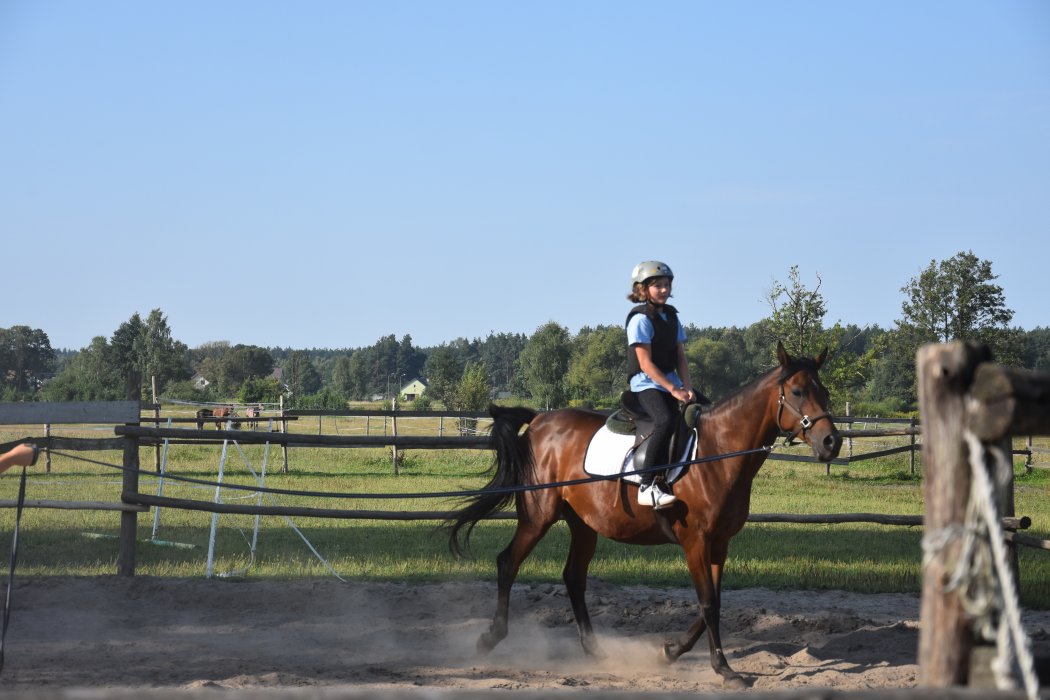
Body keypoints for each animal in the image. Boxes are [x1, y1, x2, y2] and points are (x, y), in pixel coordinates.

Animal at [447, 342, 839, 688]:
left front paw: (671, 651)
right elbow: (709, 604)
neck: (717, 452)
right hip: (537, 516)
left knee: (573, 577)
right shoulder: (695, 542)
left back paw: (595, 650)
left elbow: (712, 604)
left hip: (583, 524)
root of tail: (540, 419)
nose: (831, 442)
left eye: (825, 392)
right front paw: (725, 670)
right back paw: (490, 638)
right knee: (508, 563)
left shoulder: (719, 544)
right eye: (798, 391)